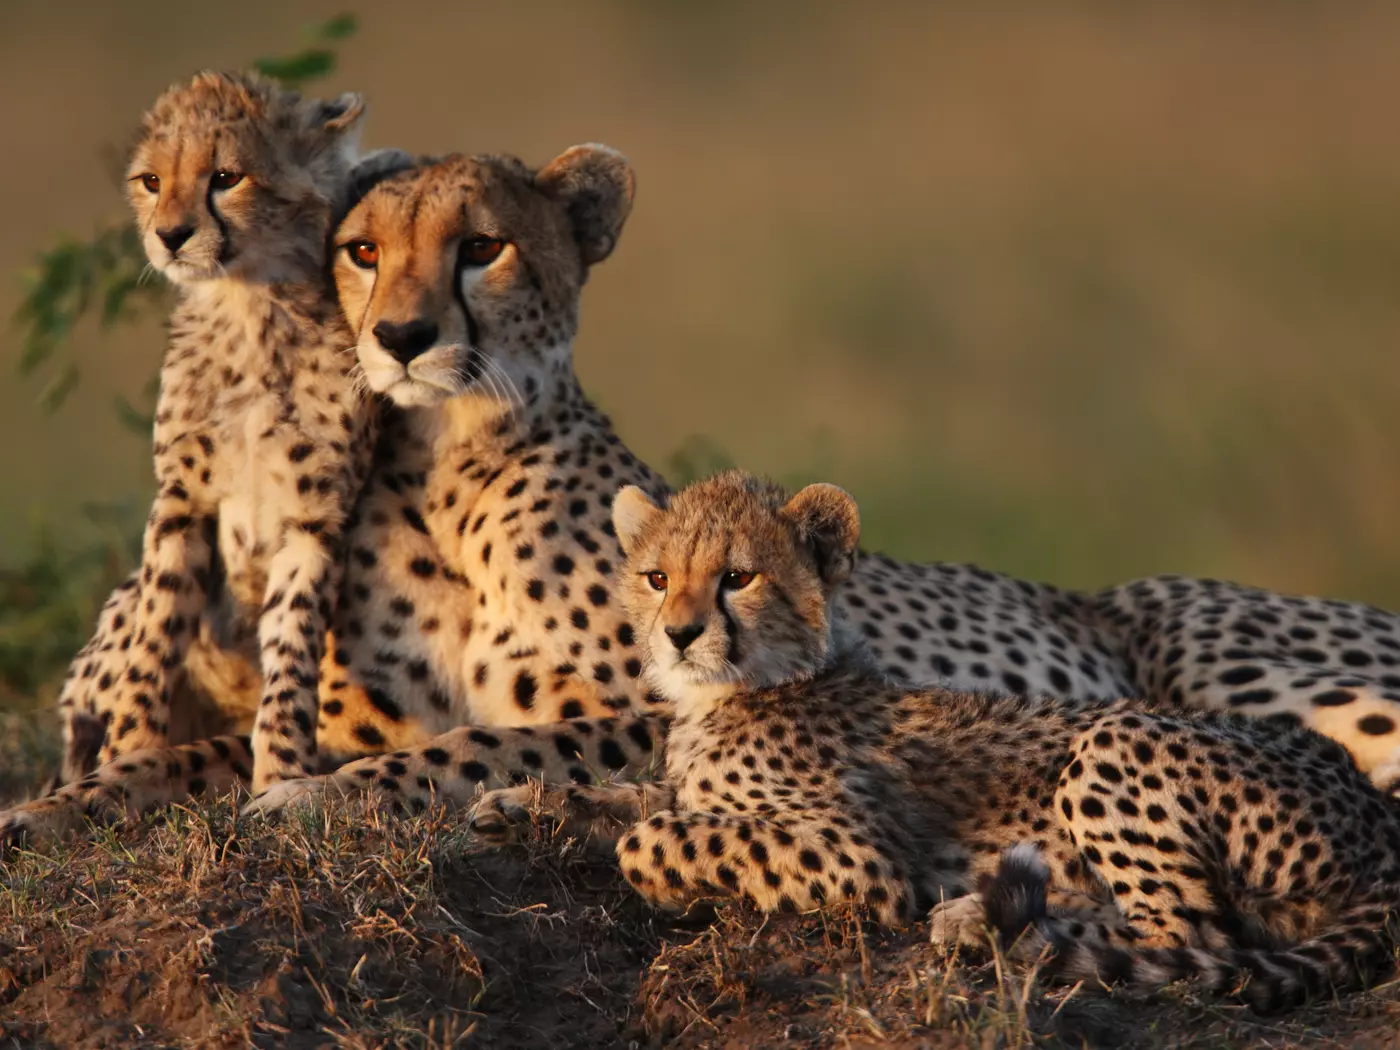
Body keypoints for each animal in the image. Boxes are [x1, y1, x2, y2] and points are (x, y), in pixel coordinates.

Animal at [472, 470, 1400, 1013]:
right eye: (657, 576)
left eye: (738, 576)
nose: (677, 634)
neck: (748, 688)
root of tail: (1369, 809)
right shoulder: (684, 782)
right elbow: (629, 795)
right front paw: (517, 804)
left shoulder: (861, 859)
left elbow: (652, 835)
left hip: (1116, 737)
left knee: (1195, 934)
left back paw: (992, 927)